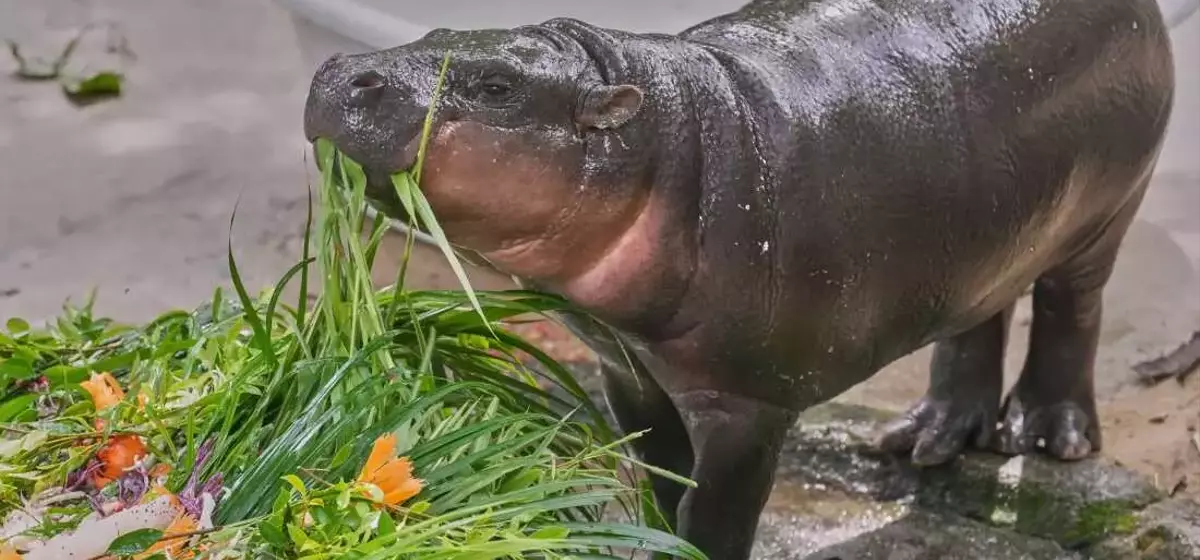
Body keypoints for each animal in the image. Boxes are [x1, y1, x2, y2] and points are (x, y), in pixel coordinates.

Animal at [302, 0, 1177, 555]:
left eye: (496, 86)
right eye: (435, 29)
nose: (342, 70)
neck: (664, 138)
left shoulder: (747, 403)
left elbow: (714, 507)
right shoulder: (626, 368)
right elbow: (660, 477)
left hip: (1108, 210)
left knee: (1070, 308)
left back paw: (1048, 436)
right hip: (988, 237)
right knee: (979, 316)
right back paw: (925, 442)